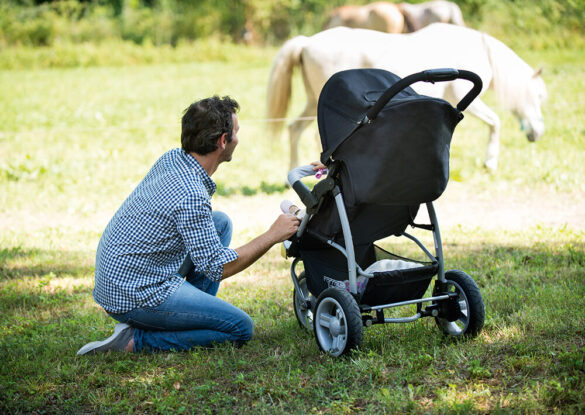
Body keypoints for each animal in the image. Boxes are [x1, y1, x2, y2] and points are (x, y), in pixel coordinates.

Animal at [266, 22, 544, 172]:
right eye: (539, 97)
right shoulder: (464, 98)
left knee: (294, 130)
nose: (538, 133)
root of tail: (306, 42)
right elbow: (495, 121)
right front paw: (490, 162)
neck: (480, 49)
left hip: (314, 102)